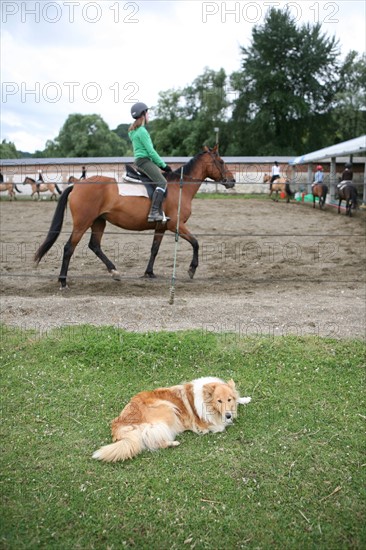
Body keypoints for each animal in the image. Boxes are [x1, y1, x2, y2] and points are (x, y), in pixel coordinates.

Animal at [34, 147, 234, 294]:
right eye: (221, 161)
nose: (232, 181)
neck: (179, 187)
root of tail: (77, 184)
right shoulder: (176, 225)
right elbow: (196, 242)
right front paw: (192, 269)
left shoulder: (161, 227)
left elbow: (154, 249)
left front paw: (149, 273)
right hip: (83, 223)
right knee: (69, 247)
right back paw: (63, 282)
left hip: (99, 221)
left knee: (94, 245)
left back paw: (114, 271)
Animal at [93, 378, 250, 464]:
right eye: (219, 401)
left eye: (229, 399)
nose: (228, 416)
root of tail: (119, 422)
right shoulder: (206, 423)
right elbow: (219, 426)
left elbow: (238, 398)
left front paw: (245, 399)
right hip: (168, 409)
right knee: (152, 441)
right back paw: (173, 442)